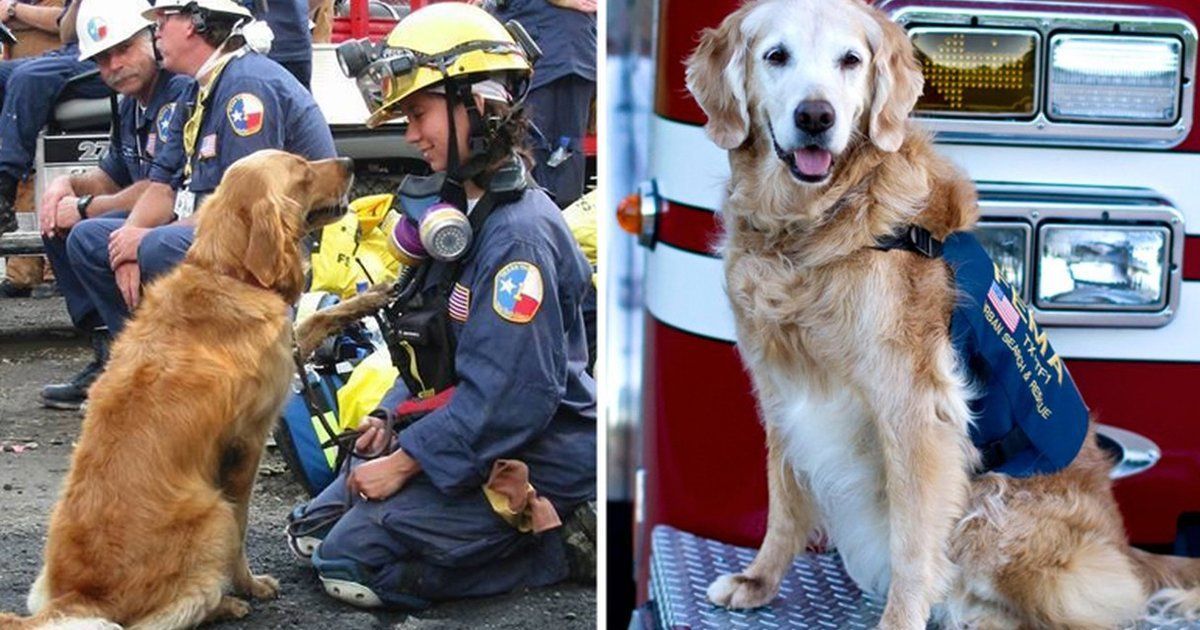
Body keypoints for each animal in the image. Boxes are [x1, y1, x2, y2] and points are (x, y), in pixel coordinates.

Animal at [0, 152, 352, 628]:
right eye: (303, 172)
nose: (350, 161)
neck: (228, 273)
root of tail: (79, 596)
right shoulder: (246, 445)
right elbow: (243, 526)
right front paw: (249, 584)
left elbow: (315, 320)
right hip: (212, 513)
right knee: (175, 609)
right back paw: (226, 603)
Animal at [691, 0, 1200, 624]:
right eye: (776, 56)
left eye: (850, 60)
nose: (815, 116)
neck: (813, 228)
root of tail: (1127, 549)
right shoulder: (783, 388)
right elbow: (784, 503)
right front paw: (758, 580)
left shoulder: (915, 409)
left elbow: (913, 545)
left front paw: (898, 620)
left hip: (993, 507)